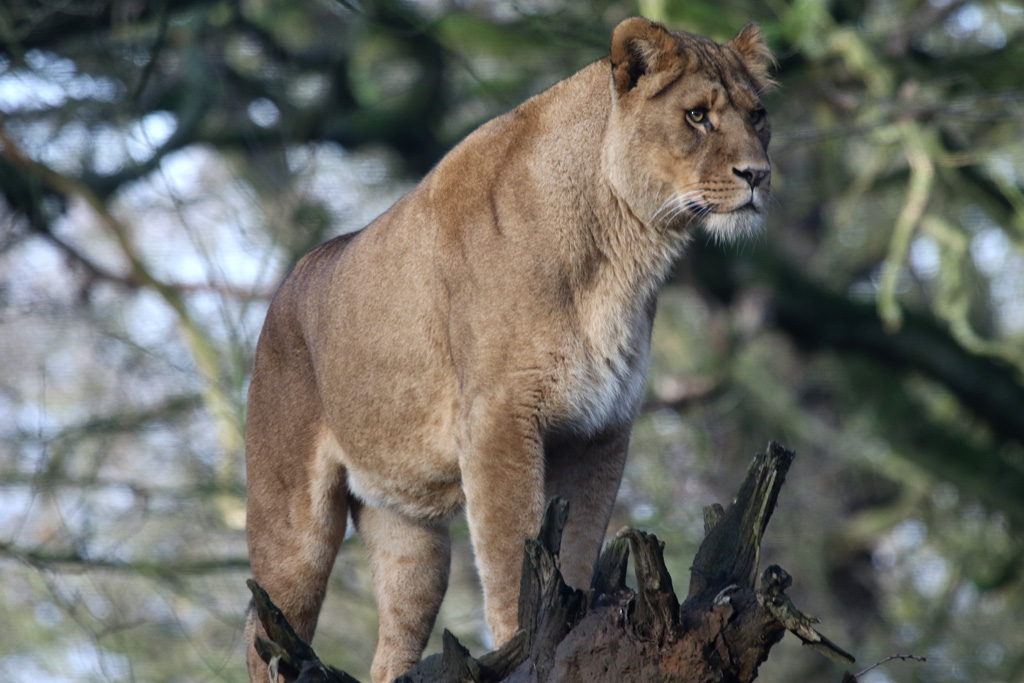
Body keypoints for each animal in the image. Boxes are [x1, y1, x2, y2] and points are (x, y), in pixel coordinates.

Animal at [244, 16, 773, 682]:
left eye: (758, 116)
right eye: (698, 116)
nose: (758, 175)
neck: (623, 253)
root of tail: (289, 283)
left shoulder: (602, 428)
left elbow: (576, 553)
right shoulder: (498, 419)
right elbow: (511, 559)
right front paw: (523, 646)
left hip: (408, 532)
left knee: (392, 649)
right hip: (290, 526)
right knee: (263, 637)